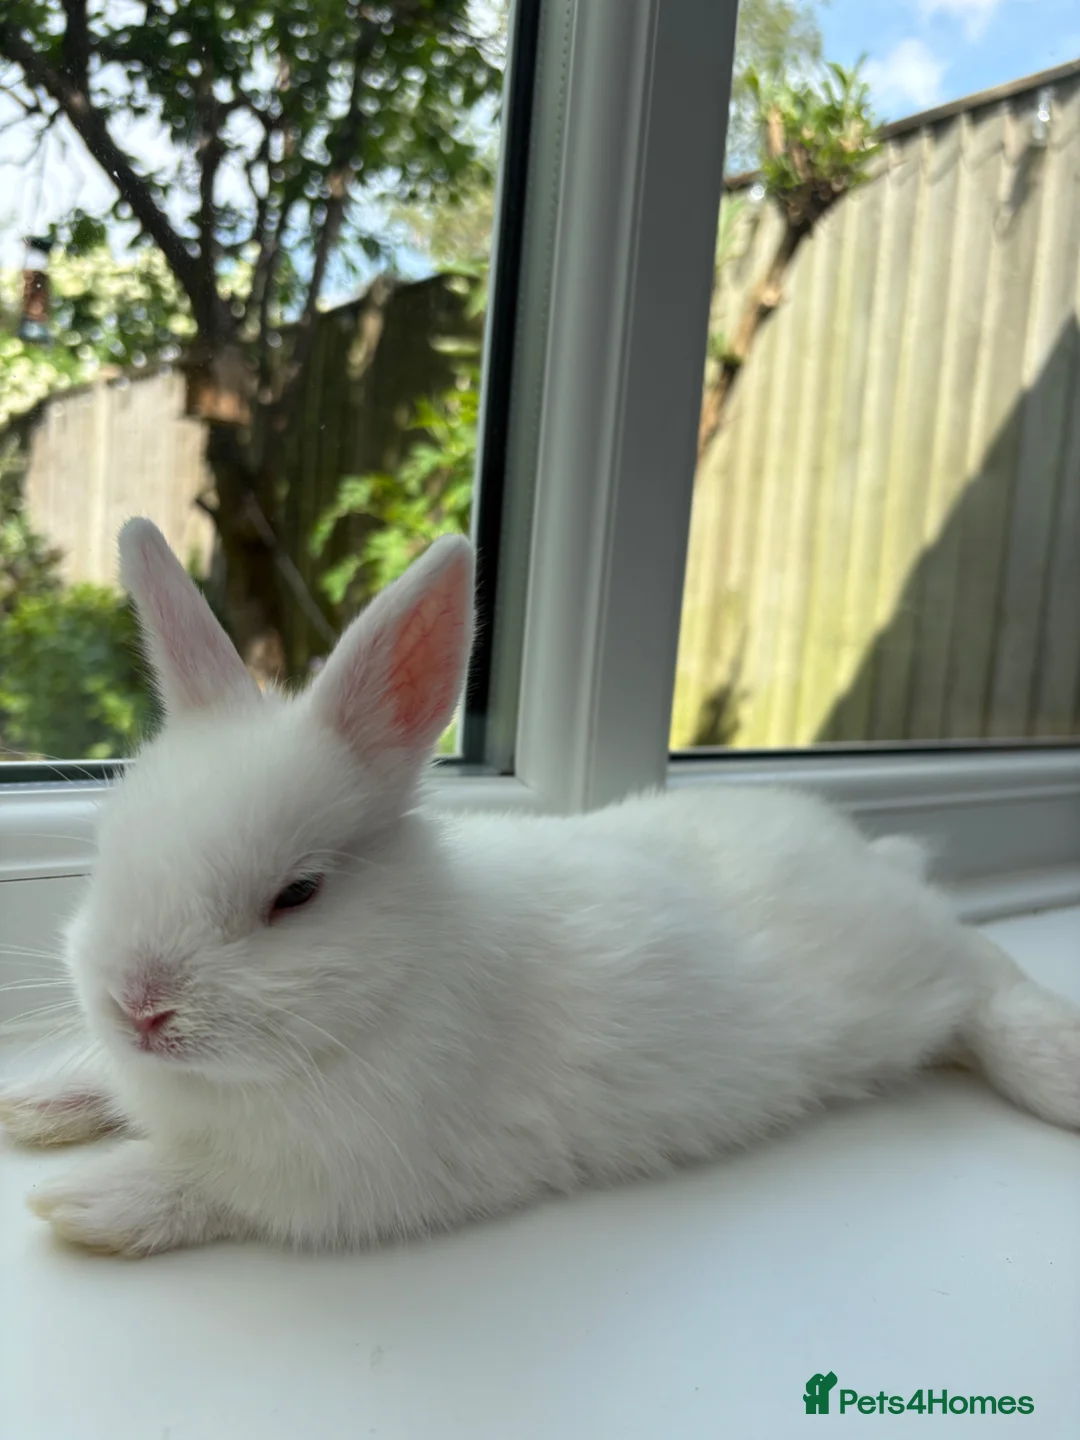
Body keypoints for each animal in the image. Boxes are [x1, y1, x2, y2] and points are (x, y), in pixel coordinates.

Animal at [2, 518, 1077, 1258]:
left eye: (296, 895)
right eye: (111, 851)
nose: (138, 1008)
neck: (386, 987)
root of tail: (870, 859)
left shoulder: (334, 1181)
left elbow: (207, 1185)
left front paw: (83, 1204)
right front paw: (35, 1103)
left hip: (917, 970)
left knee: (985, 975)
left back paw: (1056, 1071)